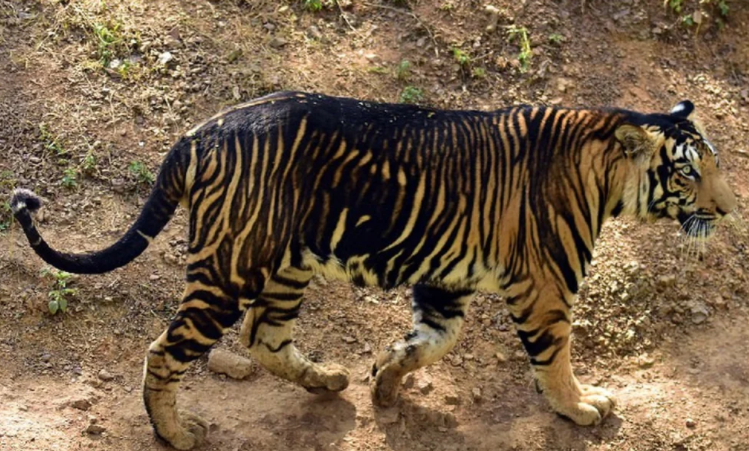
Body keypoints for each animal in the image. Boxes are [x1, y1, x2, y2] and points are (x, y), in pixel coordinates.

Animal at [11, 91, 736, 448]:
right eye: (689, 173)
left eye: (715, 166)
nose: (729, 209)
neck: (605, 173)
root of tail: (202, 129)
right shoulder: (545, 287)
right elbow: (554, 359)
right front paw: (581, 407)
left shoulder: (445, 280)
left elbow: (433, 340)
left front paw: (384, 382)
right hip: (231, 266)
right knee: (167, 348)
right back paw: (177, 433)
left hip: (285, 263)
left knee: (262, 336)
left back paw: (327, 379)